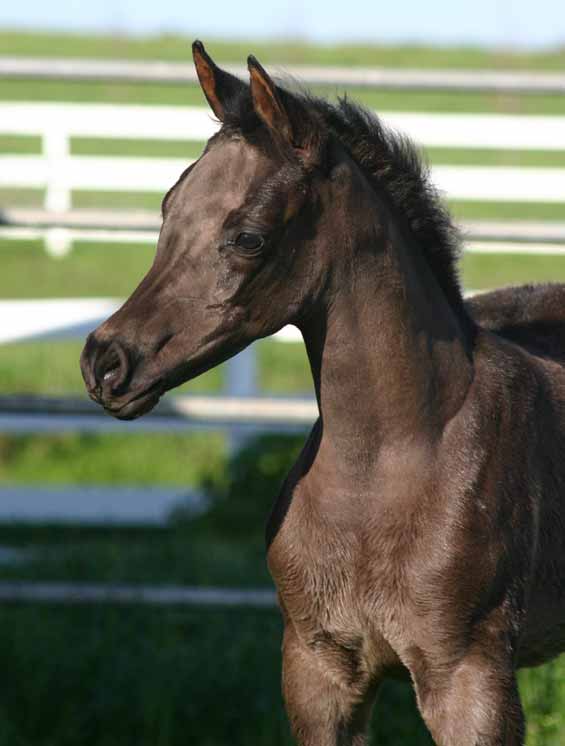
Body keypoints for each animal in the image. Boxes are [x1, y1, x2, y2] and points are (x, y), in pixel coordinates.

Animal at [81, 43, 564, 740]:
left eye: (248, 236)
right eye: (170, 205)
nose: (106, 362)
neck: (380, 471)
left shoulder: (471, 682)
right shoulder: (318, 671)